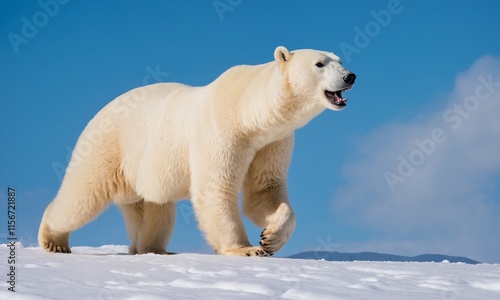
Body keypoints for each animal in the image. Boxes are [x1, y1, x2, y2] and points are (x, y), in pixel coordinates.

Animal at [40, 45, 356, 256]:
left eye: (340, 60)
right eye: (319, 63)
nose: (350, 76)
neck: (250, 114)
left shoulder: (272, 142)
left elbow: (264, 189)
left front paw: (270, 237)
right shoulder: (220, 130)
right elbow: (216, 187)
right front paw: (245, 249)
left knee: (153, 209)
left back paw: (153, 249)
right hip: (109, 145)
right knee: (83, 195)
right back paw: (54, 241)